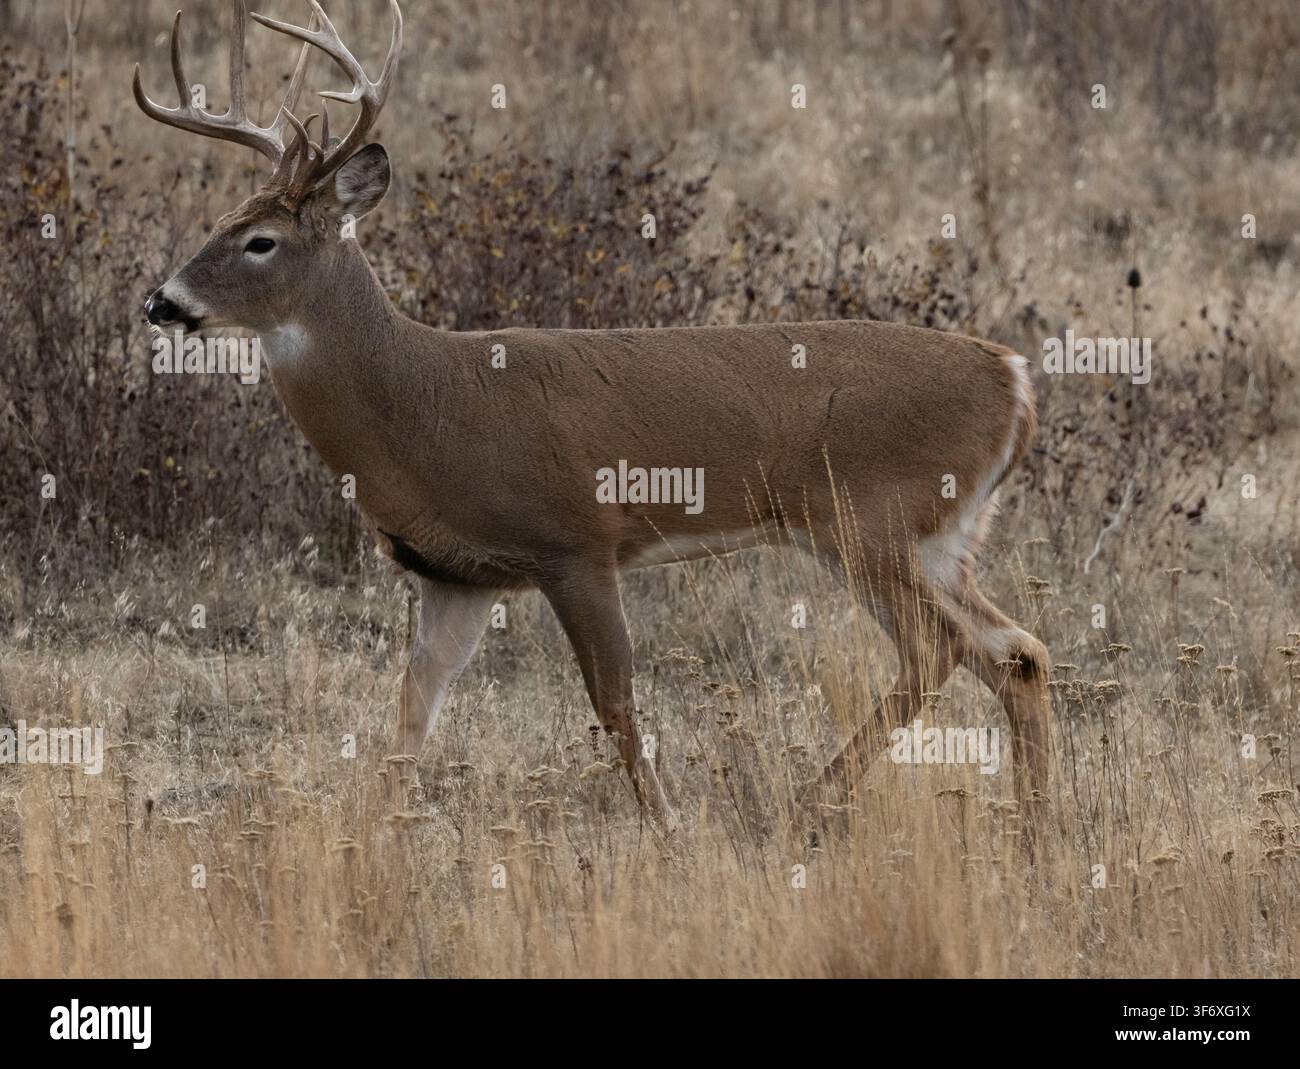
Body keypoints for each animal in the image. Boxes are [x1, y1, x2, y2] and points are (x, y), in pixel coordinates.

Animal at [135, 0, 1051, 832]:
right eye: (219, 222)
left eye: (260, 241)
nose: (161, 302)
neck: (425, 403)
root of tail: (1014, 380)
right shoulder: (457, 576)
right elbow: (412, 709)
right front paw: (373, 836)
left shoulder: (576, 539)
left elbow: (613, 702)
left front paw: (669, 825)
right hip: (939, 538)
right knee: (1019, 650)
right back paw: (1038, 822)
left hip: (867, 518)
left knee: (940, 648)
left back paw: (806, 800)